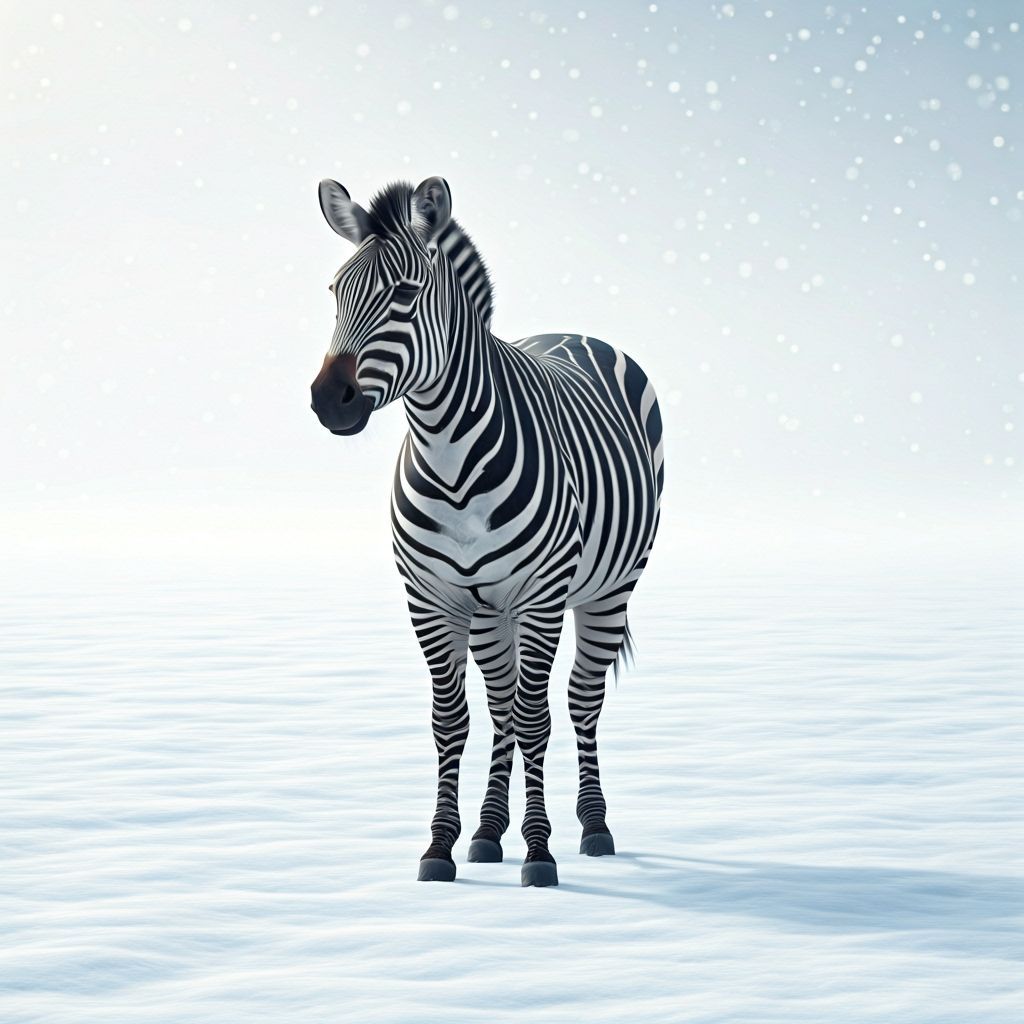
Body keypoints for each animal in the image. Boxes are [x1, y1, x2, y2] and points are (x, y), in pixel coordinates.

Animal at [310, 176, 664, 887]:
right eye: (335, 291)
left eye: (405, 294)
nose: (327, 402)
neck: (450, 459)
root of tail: (574, 332)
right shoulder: (432, 598)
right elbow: (454, 720)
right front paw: (442, 845)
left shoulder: (540, 597)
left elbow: (535, 719)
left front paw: (539, 853)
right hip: (487, 610)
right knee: (501, 706)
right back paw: (487, 831)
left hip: (609, 590)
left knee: (580, 702)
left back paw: (593, 826)